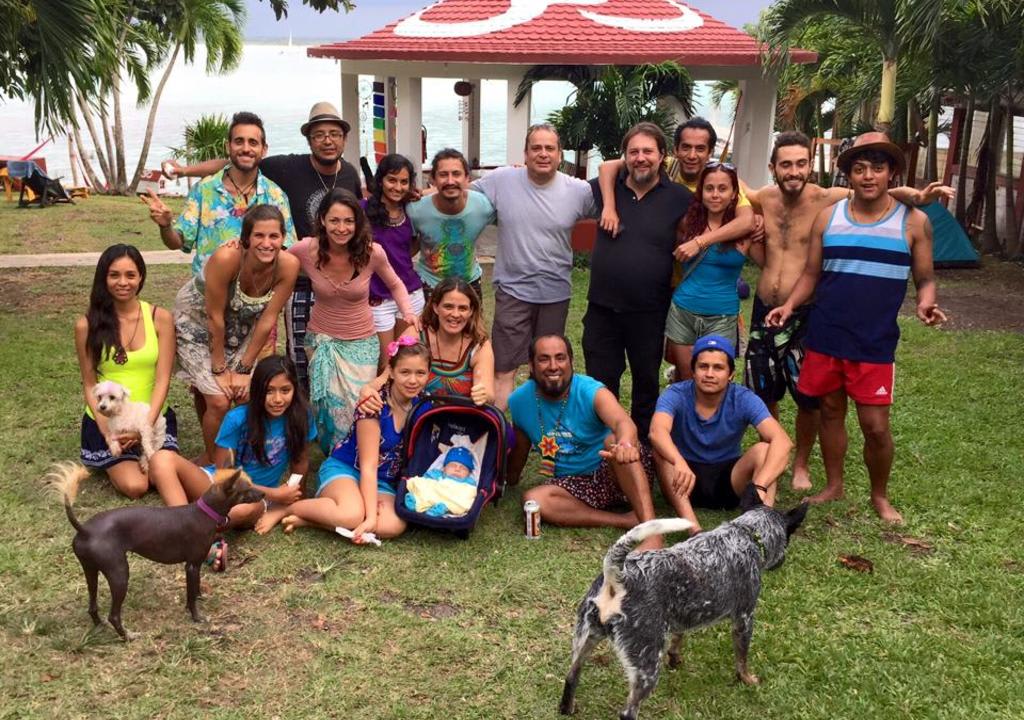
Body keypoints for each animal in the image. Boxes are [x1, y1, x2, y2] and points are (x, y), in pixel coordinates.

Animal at [561, 483, 806, 720]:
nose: (782, 561)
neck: (747, 535)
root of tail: (618, 576)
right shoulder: (744, 618)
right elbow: (742, 658)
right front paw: (747, 679)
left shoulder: (683, 615)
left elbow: (678, 639)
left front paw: (675, 658)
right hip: (647, 664)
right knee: (627, 712)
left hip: (585, 638)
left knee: (571, 677)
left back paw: (567, 708)